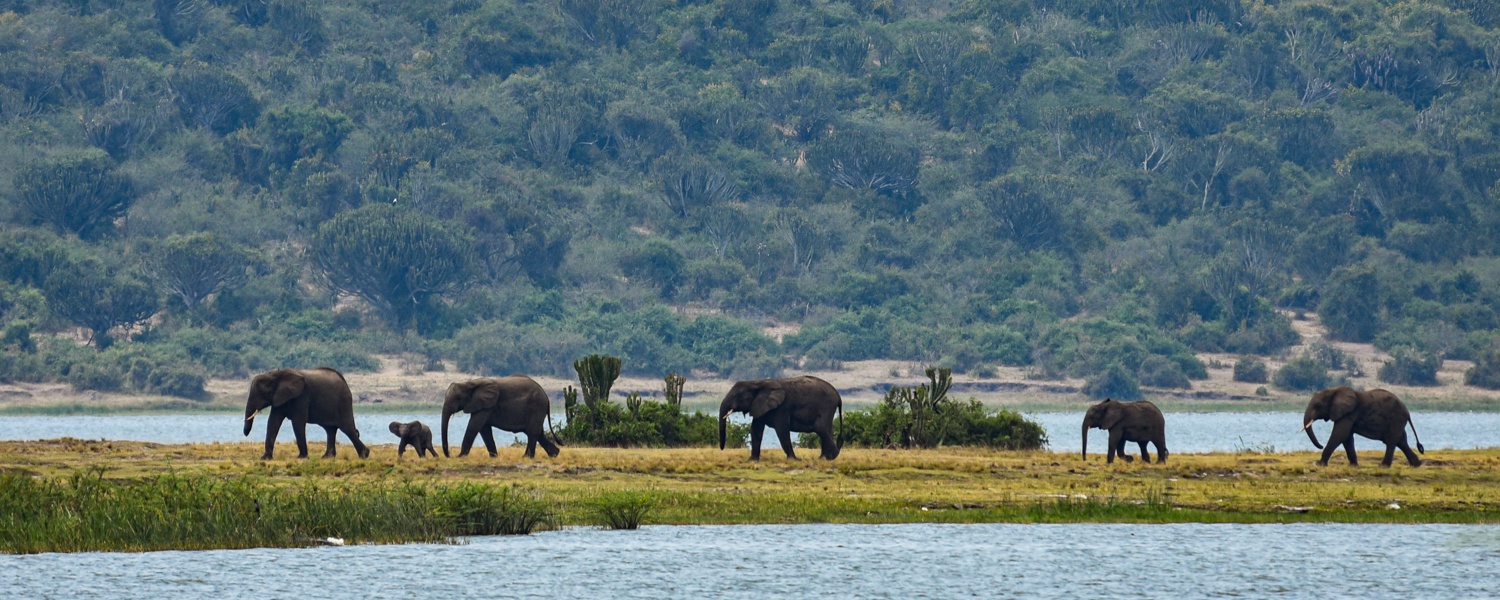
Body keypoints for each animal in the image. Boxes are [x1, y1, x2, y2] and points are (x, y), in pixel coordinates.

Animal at [717, 375, 846, 465]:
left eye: (737, 396)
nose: (722, 449)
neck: (756, 383)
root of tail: (838, 396)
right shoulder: (760, 405)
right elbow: (756, 429)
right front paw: (752, 460)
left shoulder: (781, 407)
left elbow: (782, 429)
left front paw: (793, 460)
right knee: (826, 430)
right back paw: (823, 458)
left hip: (827, 406)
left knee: (821, 427)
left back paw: (830, 457)